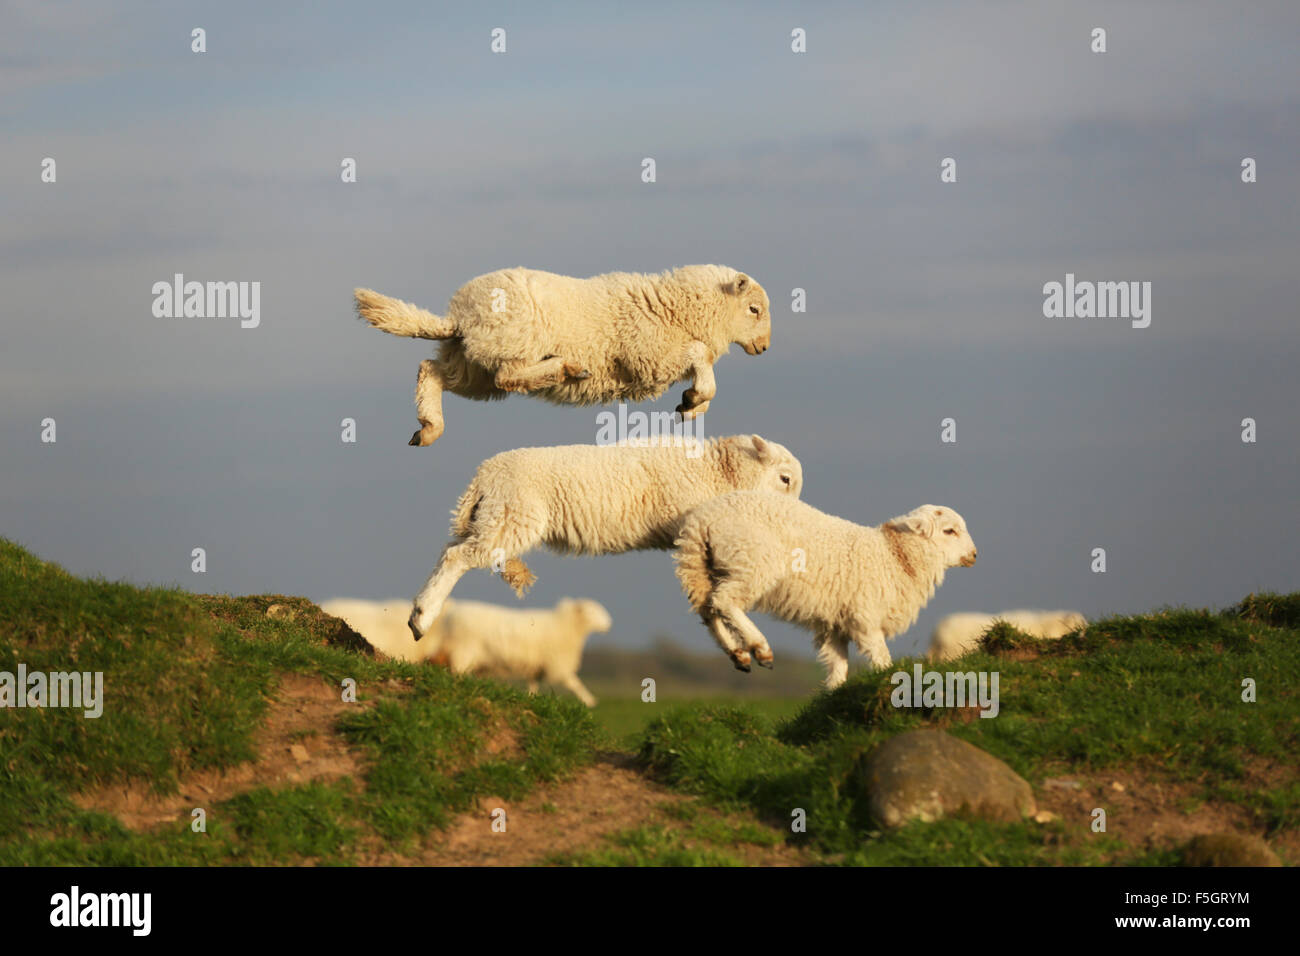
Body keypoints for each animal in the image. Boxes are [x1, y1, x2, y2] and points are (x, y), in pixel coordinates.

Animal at [322, 595, 611, 707]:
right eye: (593, 611)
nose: (610, 623)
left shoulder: (538, 666)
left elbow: (534, 685)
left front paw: (532, 699)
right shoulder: (555, 664)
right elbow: (574, 683)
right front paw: (591, 701)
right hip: (465, 652)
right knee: (458, 672)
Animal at [353, 264, 769, 447]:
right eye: (754, 310)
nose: (764, 348)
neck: (673, 306)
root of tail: (460, 317)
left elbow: (704, 372)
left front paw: (689, 406)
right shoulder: (650, 356)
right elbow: (702, 358)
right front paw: (695, 397)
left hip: (473, 366)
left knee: (432, 370)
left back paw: (428, 428)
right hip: (510, 343)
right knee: (509, 376)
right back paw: (566, 367)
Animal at [408, 437, 800, 639]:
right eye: (784, 479)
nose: (788, 517)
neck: (718, 471)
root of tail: (483, 476)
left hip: (491, 517)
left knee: (450, 549)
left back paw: (420, 612)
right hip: (513, 516)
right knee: (458, 557)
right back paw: (422, 619)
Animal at [681, 494, 977, 686]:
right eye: (949, 531)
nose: (974, 555)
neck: (895, 556)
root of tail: (701, 520)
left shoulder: (835, 625)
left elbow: (838, 668)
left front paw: (834, 694)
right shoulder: (865, 619)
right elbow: (881, 658)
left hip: (701, 569)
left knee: (708, 609)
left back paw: (738, 655)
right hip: (752, 562)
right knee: (725, 602)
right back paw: (759, 648)